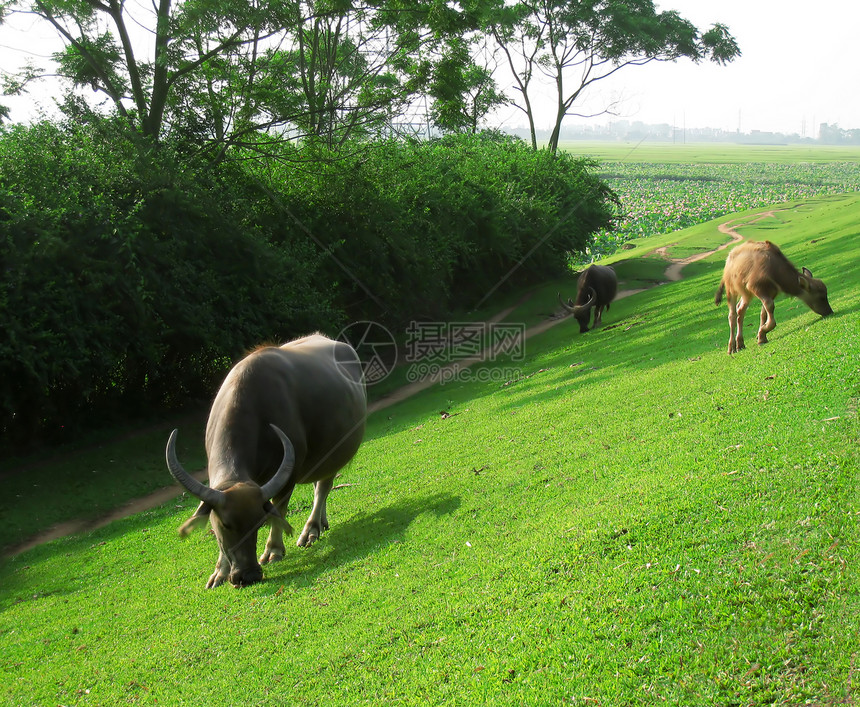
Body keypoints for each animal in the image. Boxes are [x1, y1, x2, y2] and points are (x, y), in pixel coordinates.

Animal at [165, 334, 366, 588]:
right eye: (225, 524)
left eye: (259, 523)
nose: (249, 575)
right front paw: (219, 571)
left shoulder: (288, 474)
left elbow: (279, 509)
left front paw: (273, 550)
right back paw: (322, 522)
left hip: (333, 453)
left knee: (323, 487)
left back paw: (311, 529)